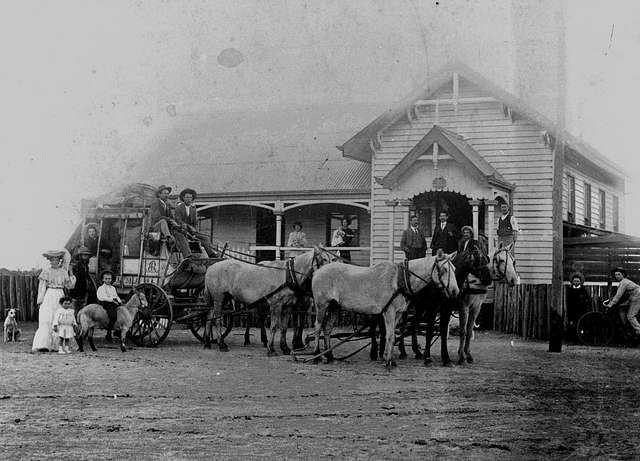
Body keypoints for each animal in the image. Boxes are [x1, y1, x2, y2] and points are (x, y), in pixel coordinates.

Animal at [204, 248, 336, 352]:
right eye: (324, 259)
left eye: (332, 259)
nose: (330, 273)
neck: (288, 275)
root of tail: (211, 267)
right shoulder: (276, 305)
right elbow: (274, 326)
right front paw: (271, 349)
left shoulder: (288, 306)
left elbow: (283, 327)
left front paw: (285, 348)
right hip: (219, 298)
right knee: (217, 320)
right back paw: (222, 344)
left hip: (222, 299)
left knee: (209, 317)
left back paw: (207, 342)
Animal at [312, 250, 458, 368]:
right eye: (445, 269)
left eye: (454, 269)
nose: (455, 291)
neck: (399, 280)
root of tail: (317, 271)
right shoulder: (389, 312)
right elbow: (390, 335)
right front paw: (388, 361)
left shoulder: (398, 314)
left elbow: (392, 335)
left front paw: (390, 359)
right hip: (322, 305)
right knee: (318, 327)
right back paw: (316, 356)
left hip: (334, 306)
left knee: (327, 329)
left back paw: (330, 357)